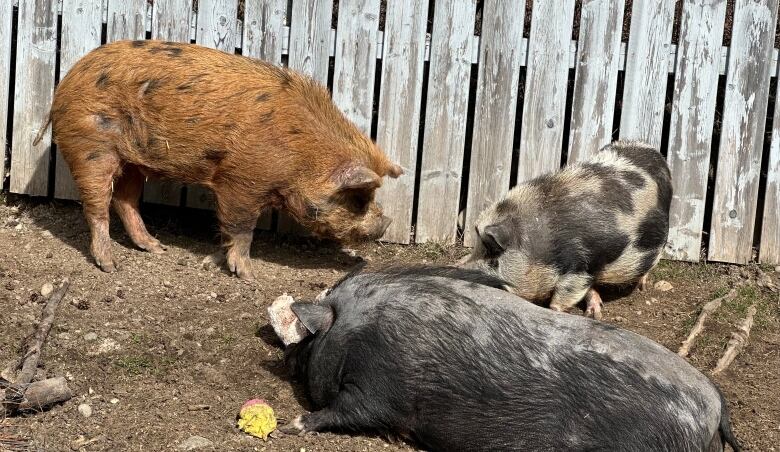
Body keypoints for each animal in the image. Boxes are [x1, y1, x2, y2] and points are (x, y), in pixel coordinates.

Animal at [36, 39, 402, 278]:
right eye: (357, 198)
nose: (386, 223)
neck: (301, 152)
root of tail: (64, 83)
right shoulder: (240, 181)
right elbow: (242, 228)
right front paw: (247, 275)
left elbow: (228, 230)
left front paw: (213, 261)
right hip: (91, 148)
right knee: (97, 205)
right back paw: (111, 266)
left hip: (133, 162)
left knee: (125, 201)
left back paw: (156, 248)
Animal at [284, 266, 740, 450]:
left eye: (308, 340)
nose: (287, 355)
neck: (352, 333)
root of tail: (716, 404)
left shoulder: (377, 387)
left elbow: (345, 410)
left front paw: (293, 425)